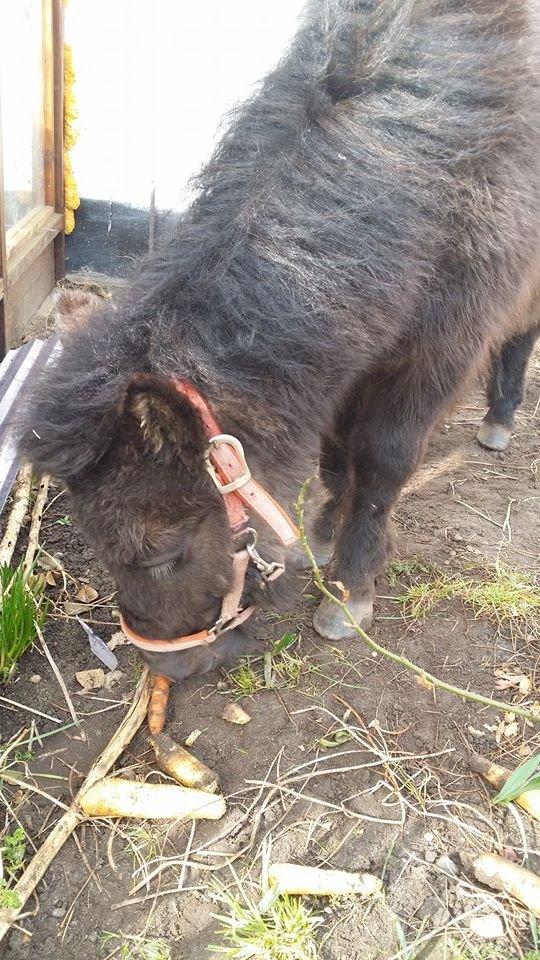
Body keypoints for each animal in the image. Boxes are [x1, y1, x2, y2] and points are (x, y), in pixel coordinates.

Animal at [20, 0, 540, 684]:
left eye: (163, 554)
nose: (170, 669)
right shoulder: (348, 354)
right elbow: (336, 450)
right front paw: (320, 534)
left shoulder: (433, 358)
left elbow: (381, 460)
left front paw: (351, 588)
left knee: (520, 341)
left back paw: (500, 420)